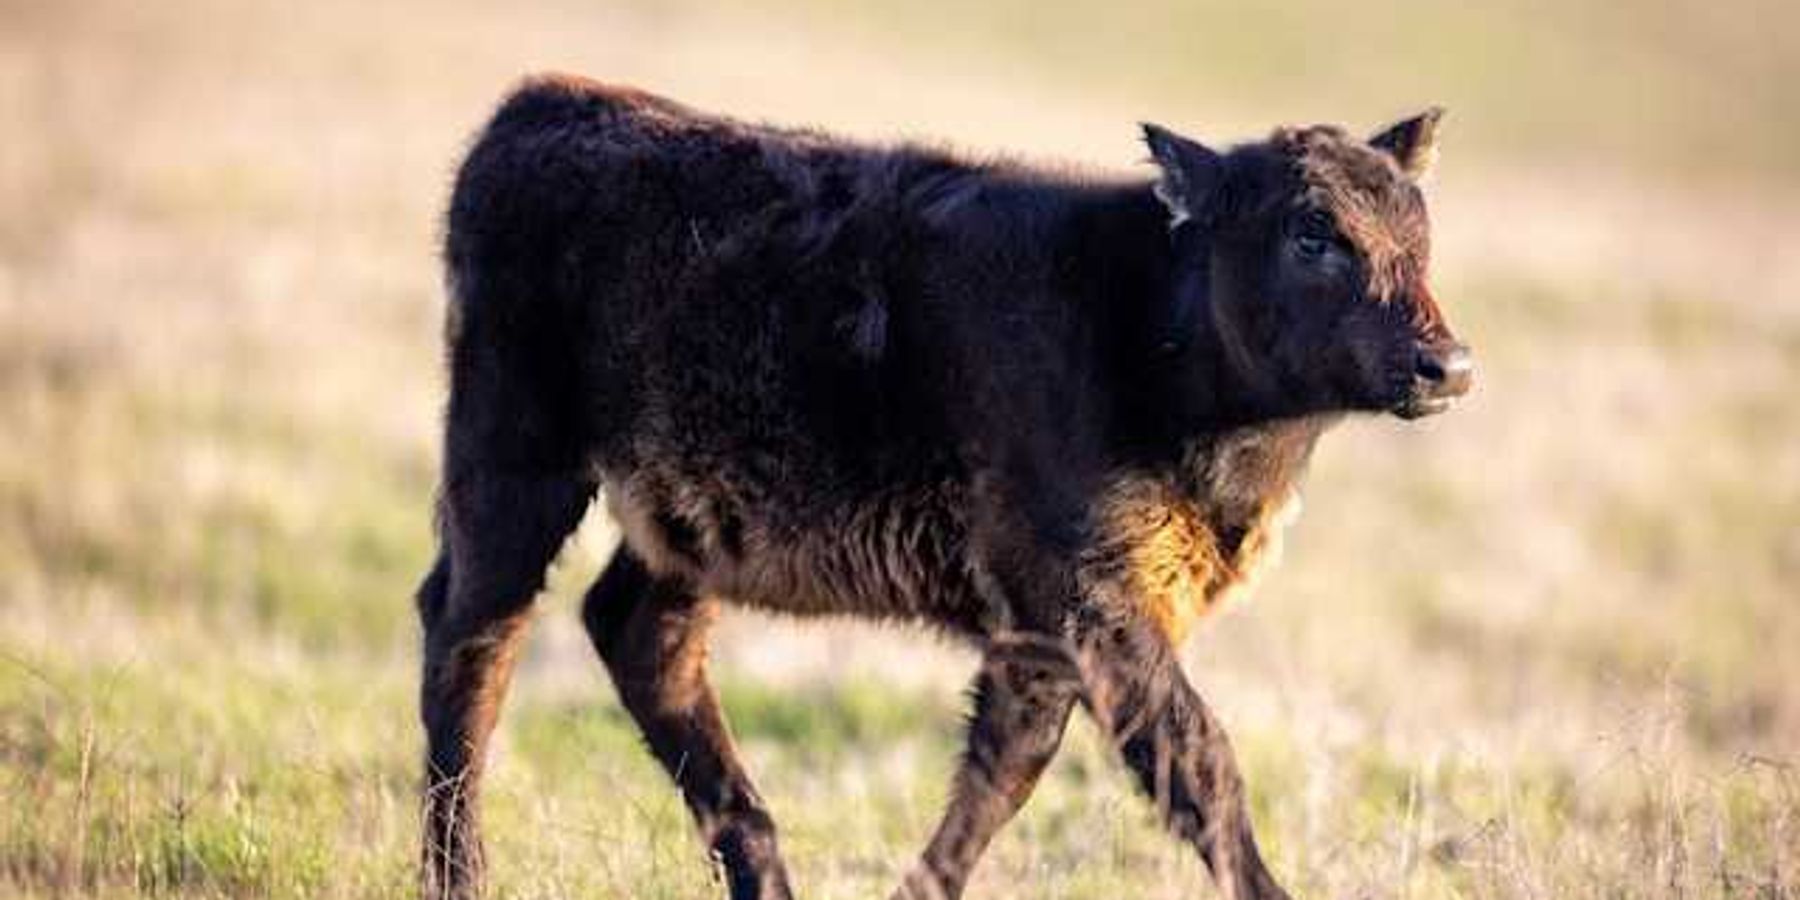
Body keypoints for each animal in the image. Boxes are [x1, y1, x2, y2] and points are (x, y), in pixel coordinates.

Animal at [415, 73, 1472, 900]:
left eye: (1419, 230)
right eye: (1312, 233)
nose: (1447, 365)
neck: (1145, 319)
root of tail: (538, 109)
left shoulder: (1042, 633)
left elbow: (1005, 771)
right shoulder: (1092, 606)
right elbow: (1196, 762)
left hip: (684, 530)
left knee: (639, 636)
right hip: (513, 468)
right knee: (473, 639)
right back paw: (461, 875)